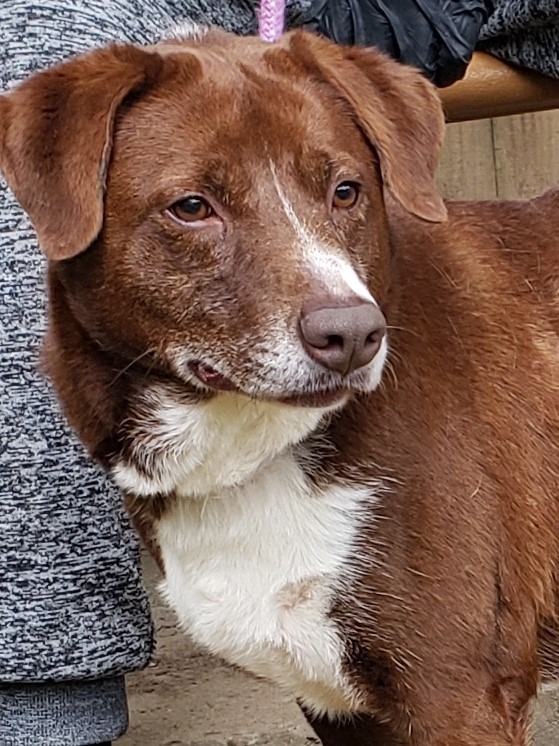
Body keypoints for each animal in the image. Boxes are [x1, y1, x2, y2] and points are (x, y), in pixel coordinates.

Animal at [1, 23, 559, 744]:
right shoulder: (343, 705)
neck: (248, 446)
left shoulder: (456, 692)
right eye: (191, 207)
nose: (352, 333)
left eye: (346, 191)